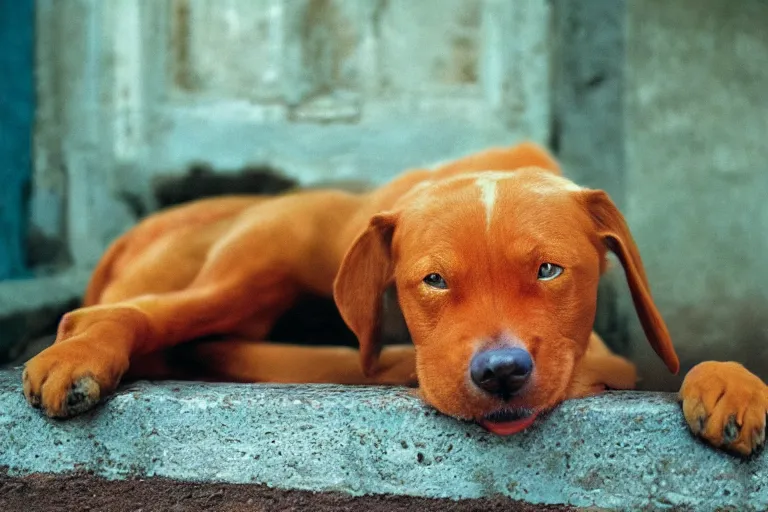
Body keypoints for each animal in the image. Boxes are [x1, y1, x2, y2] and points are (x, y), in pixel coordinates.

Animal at [21, 142, 764, 454]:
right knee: (126, 315)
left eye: (551, 271)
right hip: (255, 269)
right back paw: (82, 352)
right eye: (433, 281)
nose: (501, 373)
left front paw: (729, 384)